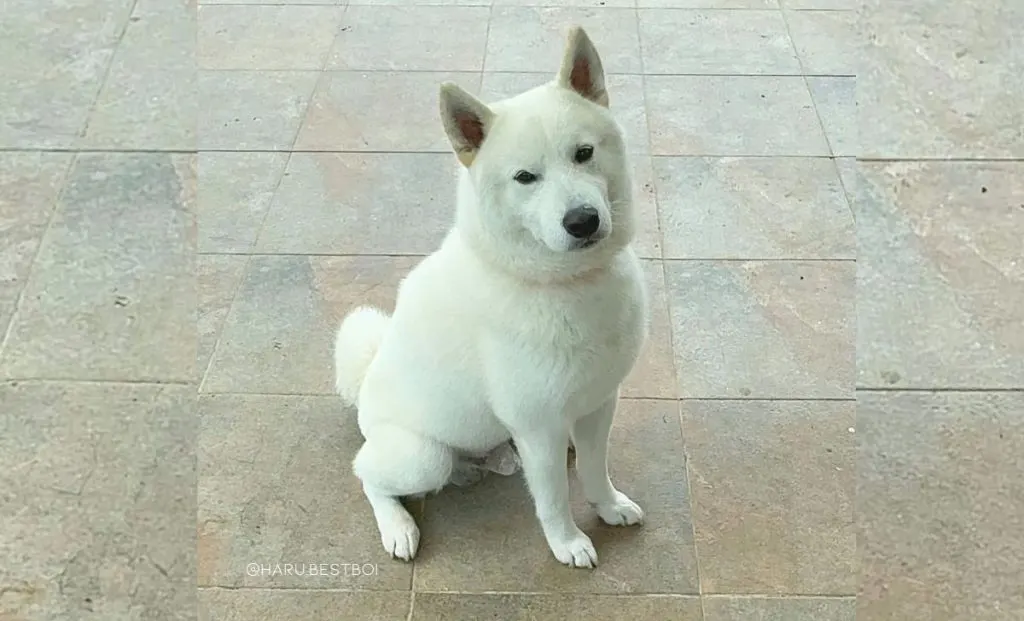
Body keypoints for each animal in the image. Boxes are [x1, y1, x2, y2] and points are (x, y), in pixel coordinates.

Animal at [335, 26, 647, 569]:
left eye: (584, 153)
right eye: (526, 177)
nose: (582, 221)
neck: (564, 285)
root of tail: (365, 384)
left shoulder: (597, 404)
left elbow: (595, 469)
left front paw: (608, 507)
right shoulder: (538, 427)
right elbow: (552, 498)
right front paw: (567, 543)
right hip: (423, 456)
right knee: (367, 475)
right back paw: (398, 526)